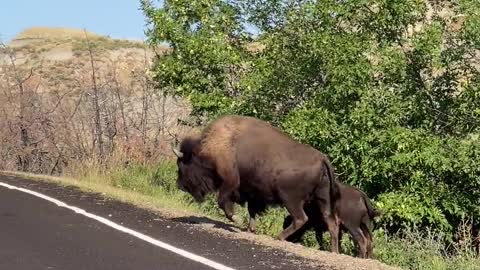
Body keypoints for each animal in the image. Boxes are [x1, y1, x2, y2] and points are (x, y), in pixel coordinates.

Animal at [171, 115, 340, 250]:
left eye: (182, 166)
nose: (180, 185)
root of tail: (321, 158)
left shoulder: (230, 182)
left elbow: (223, 202)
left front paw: (237, 220)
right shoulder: (252, 192)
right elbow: (252, 210)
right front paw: (250, 229)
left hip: (290, 199)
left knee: (301, 218)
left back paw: (279, 237)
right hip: (322, 199)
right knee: (331, 222)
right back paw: (334, 251)